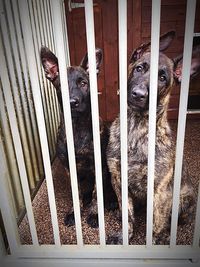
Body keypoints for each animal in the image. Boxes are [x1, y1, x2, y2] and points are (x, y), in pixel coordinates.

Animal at [40, 47, 116, 229]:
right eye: (61, 86)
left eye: (83, 83)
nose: (72, 102)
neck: (78, 127)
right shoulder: (70, 169)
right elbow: (77, 194)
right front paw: (74, 212)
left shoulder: (99, 166)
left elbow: (97, 193)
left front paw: (95, 215)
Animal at [107, 31, 199, 245]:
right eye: (140, 68)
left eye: (163, 78)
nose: (138, 94)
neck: (135, 129)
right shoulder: (118, 179)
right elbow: (128, 214)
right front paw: (125, 235)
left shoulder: (160, 191)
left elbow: (157, 224)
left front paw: (156, 241)